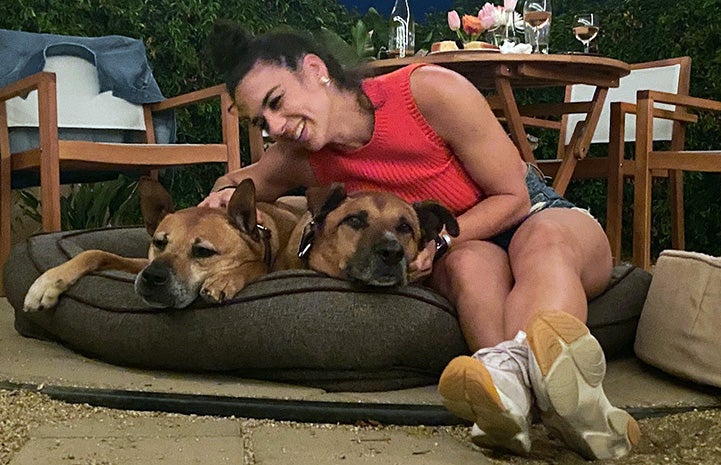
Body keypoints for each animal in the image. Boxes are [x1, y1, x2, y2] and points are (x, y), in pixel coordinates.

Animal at [23, 176, 302, 310]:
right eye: (159, 242)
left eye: (203, 251)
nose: (152, 277)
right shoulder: (140, 262)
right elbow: (95, 253)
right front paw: (48, 282)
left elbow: (255, 266)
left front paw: (223, 280)